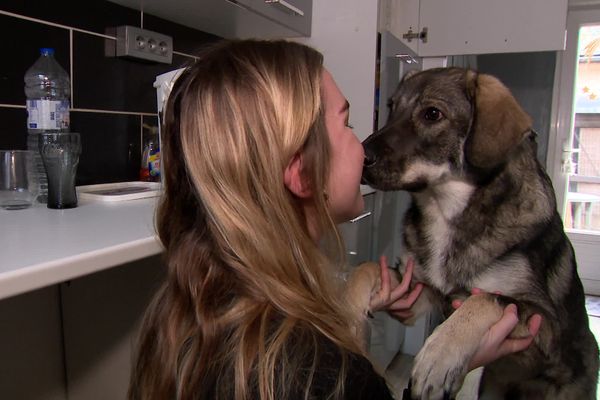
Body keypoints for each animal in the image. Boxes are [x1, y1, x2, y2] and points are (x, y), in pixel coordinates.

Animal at [356, 67, 600, 398]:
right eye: (392, 107)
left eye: (432, 114)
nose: (359, 156)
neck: (446, 210)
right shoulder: (420, 289)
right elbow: (366, 269)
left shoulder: (544, 323)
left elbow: (485, 300)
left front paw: (437, 357)